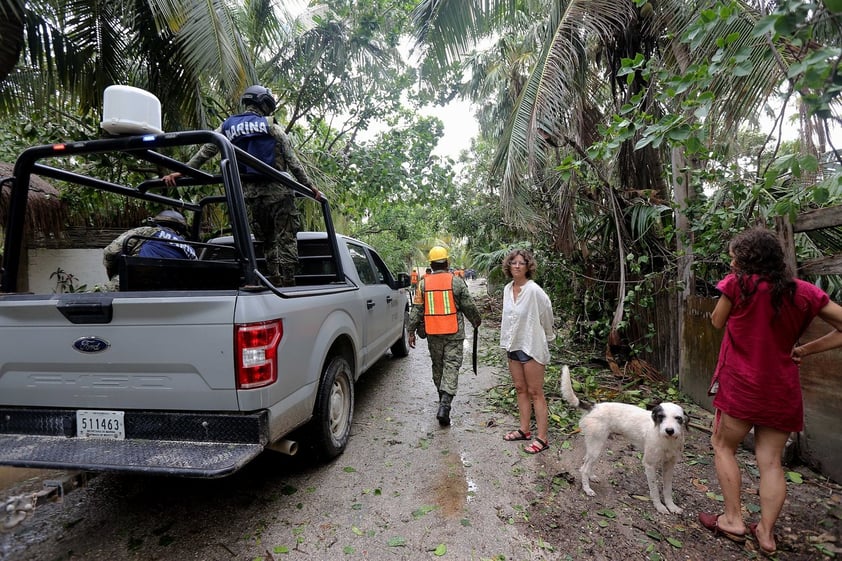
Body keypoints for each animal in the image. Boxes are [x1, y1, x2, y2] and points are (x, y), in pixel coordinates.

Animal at [560, 366, 684, 516]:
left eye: (678, 418)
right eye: (661, 417)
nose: (669, 430)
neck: (666, 439)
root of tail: (593, 407)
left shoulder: (669, 465)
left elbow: (667, 490)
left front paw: (672, 506)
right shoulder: (649, 465)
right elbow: (654, 490)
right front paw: (659, 507)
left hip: (596, 445)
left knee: (585, 462)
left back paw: (591, 476)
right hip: (596, 447)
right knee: (583, 468)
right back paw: (587, 489)